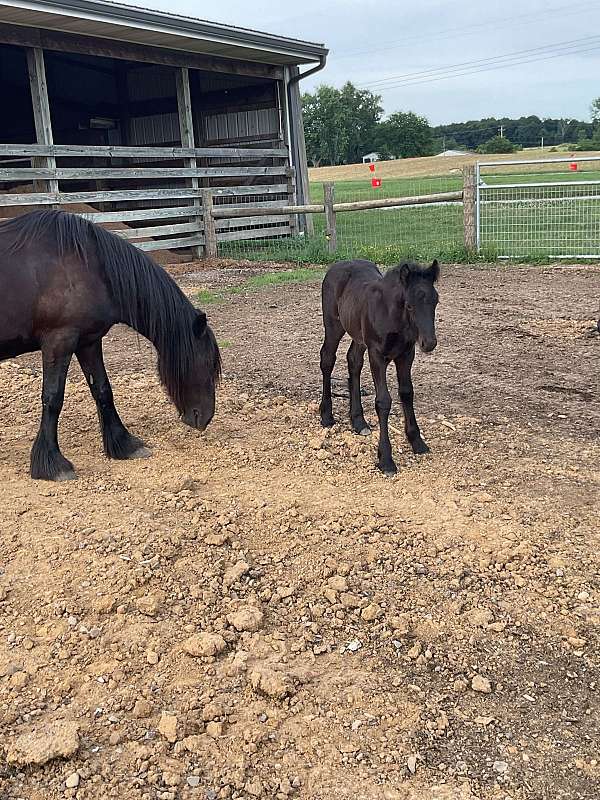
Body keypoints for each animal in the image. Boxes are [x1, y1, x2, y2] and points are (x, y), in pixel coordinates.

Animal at [0, 209, 221, 481]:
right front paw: (52, 463)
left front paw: (124, 444)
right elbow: (53, 398)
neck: (90, 267)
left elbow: (103, 390)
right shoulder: (58, 341)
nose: (205, 417)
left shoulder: (88, 341)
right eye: (207, 363)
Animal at [319, 258, 439, 476]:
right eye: (409, 305)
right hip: (333, 325)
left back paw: (359, 421)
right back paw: (326, 415)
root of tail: (338, 265)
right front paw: (386, 459)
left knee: (353, 361)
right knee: (327, 359)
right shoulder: (377, 355)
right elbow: (383, 401)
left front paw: (416, 441)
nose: (429, 343)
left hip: (358, 336)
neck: (393, 317)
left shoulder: (406, 355)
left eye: (435, 301)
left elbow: (407, 393)